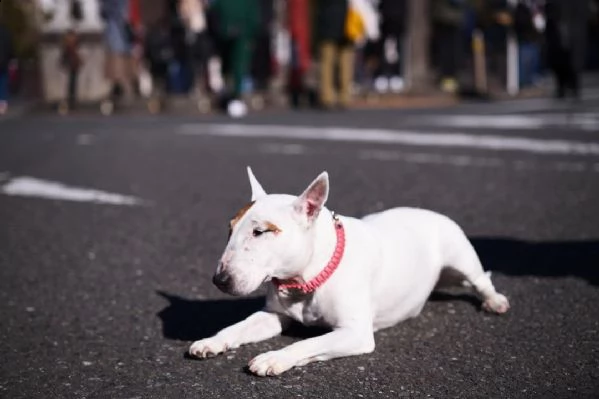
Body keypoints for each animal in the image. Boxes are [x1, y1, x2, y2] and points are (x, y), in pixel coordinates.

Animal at [190, 167, 508, 376]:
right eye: (229, 229)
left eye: (260, 232)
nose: (219, 280)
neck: (308, 277)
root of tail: (428, 212)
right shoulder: (274, 315)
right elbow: (239, 326)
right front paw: (211, 341)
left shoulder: (355, 333)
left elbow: (308, 343)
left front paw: (273, 358)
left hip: (460, 256)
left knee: (481, 279)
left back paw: (494, 301)